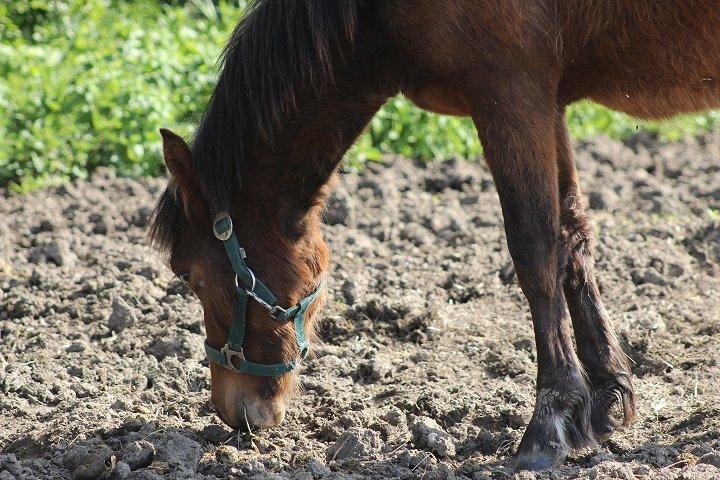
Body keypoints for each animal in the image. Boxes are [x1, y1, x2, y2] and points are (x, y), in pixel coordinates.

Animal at [148, 0, 720, 470]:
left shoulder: (510, 96)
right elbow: (573, 237)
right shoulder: (547, 103)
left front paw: (550, 422)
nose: (233, 410)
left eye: (190, 275)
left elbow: (535, 250)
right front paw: (604, 398)